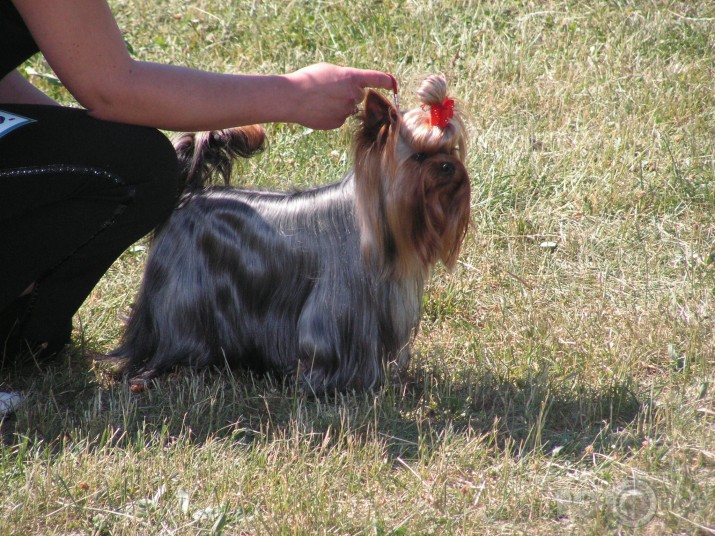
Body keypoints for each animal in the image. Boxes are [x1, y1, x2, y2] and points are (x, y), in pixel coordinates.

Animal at [110, 74, 470, 394]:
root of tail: (190, 194)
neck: (376, 225)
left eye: (451, 151)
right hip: (182, 293)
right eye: (419, 157)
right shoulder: (336, 310)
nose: (450, 168)